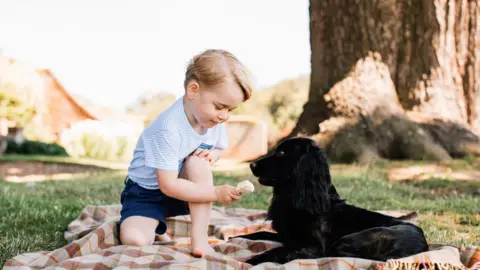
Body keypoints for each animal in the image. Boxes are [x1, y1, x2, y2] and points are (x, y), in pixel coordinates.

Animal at [238, 138, 430, 264]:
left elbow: (279, 249)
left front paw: (253, 260)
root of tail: (423, 246)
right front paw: (236, 237)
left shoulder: (314, 245)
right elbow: (258, 234)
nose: (252, 165)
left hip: (350, 239)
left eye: (281, 153)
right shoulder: (287, 235)